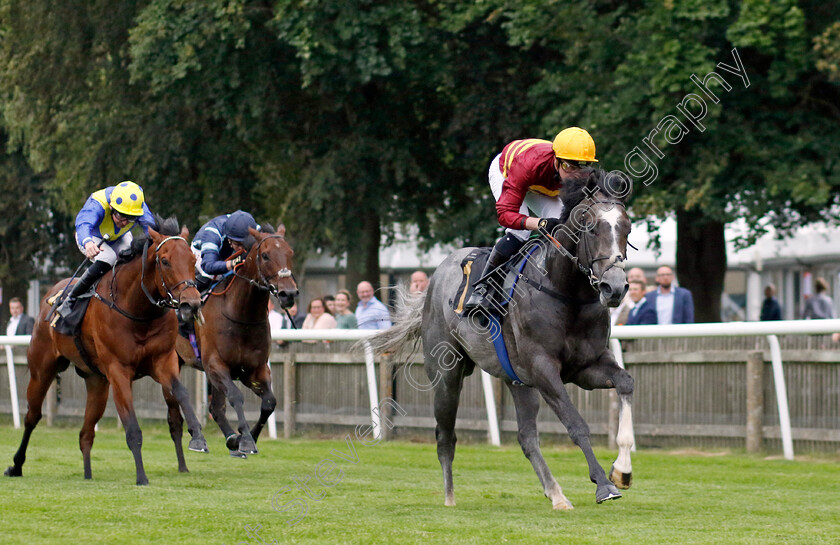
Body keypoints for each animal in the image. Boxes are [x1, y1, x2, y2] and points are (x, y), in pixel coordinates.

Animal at [3, 217, 207, 484]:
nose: (191, 304)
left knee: (85, 433)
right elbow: (132, 427)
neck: (138, 310)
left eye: (193, 260)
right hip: (42, 370)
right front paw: (141, 477)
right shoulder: (118, 370)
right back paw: (16, 465)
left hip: (96, 382)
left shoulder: (163, 361)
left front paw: (199, 437)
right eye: (165, 261)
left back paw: (88, 474)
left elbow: (181, 393)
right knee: (32, 417)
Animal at [174, 224, 298, 454]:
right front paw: (246, 439)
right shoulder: (215, 365)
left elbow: (269, 402)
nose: (289, 293)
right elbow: (236, 396)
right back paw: (197, 437)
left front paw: (247, 438)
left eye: (290, 253)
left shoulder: (254, 369)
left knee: (215, 407)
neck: (242, 315)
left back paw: (230, 437)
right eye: (265, 255)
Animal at [368, 169, 636, 506]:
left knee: (526, 438)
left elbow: (625, 383)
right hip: (446, 375)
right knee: (445, 436)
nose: (615, 288)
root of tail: (435, 277)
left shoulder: (586, 366)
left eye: (626, 227)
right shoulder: (544, 368)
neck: (565, 290)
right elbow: (576, 424)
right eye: (591, 227)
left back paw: (556, 495)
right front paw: (603, 484)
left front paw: (622, 470)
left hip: (517, 381)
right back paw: (449, 498)